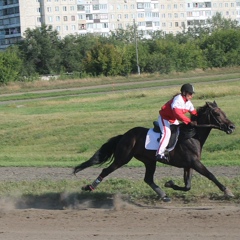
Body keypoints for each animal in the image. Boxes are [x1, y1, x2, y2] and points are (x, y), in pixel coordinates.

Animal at [73, 100, 234, 202]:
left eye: (224, 112)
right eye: (217, 114)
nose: (232, 126)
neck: (192, 135)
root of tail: (124, 135)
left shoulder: (189, 165)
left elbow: (187, 186)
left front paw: (169, 184)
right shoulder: (194, 163)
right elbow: (211, 175)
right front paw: (228, 191)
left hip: (149, 161)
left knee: (148, 179)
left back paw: (164, 195)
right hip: (123, 158)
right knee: (106, 170)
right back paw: (90, 187)